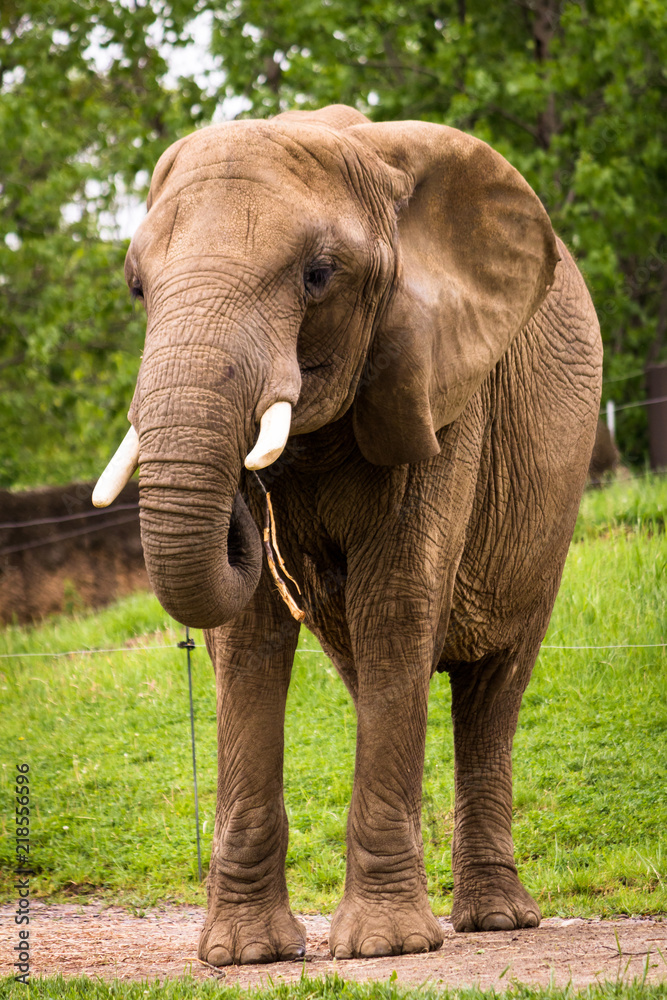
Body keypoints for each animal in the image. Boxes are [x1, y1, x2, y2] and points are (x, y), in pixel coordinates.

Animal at [93, 104, 602, 964]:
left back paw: (493, 920)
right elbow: (249, 634)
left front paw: (385, 947)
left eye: (318, 276)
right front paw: (246, 955)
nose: (247, 503)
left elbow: (395, 600)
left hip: (550, 511)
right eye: (135, 287)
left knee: (490, 687)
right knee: (374, 674)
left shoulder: (436, 383)